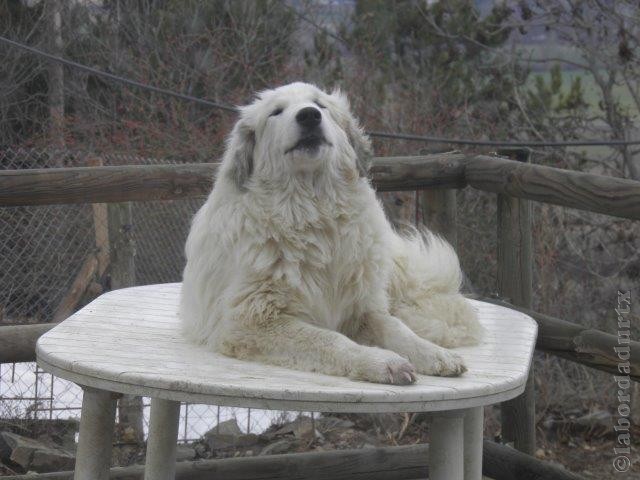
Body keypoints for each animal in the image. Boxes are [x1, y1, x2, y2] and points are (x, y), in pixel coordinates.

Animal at [180, 80, 480, 384]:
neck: (314, 213)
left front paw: (433, 354)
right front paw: (384, 362)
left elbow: (397, 329)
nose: (309, 116)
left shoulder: (362, 309)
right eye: (276, 112)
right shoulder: (251, 321)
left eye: (319, 105)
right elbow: (331, 340)